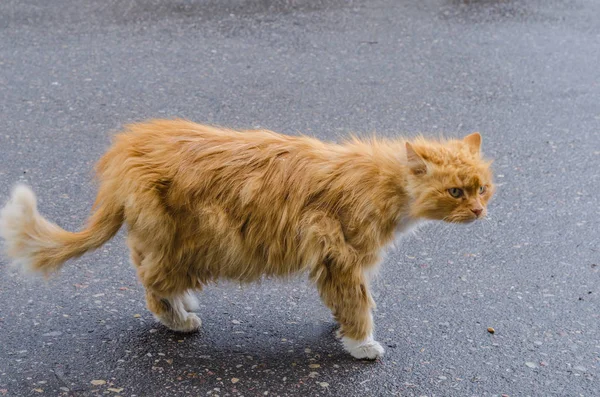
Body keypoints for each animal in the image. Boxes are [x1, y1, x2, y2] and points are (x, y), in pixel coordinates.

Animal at [0, 118, 494, 358]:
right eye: (456, 191)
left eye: (483, 188)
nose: (479, 211)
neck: (387, 186)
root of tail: (124, 151)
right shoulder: (342, 254)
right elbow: (359, 302)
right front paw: (361, 344)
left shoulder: (335, 262)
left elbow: (344, 301)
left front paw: (340, 327)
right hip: (185, 240)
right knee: (152, 285)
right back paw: (179, 319)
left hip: (163, 238)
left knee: (147, 267)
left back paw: (183, 303)